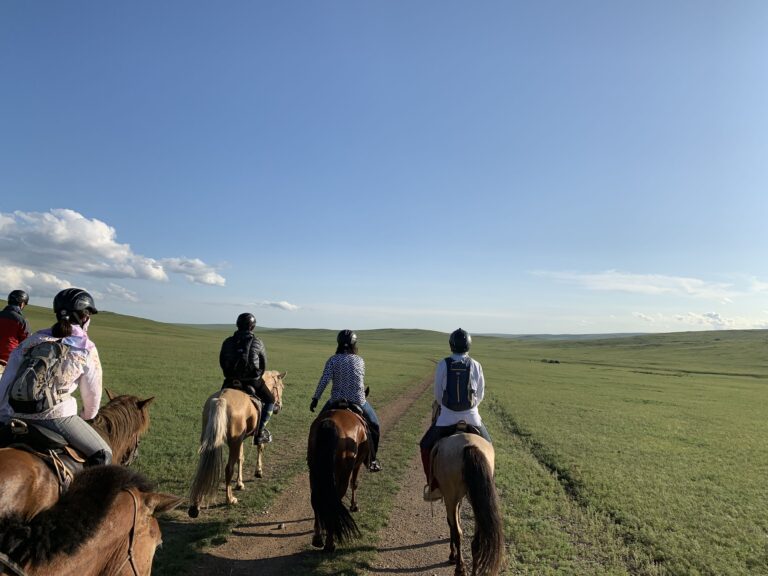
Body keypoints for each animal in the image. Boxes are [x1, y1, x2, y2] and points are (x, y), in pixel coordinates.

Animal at [187, 370, 286, 518]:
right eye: (281, 387)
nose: (278, 407)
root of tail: (221, 399)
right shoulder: (248, 437)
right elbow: (260, 447)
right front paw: (258, 471)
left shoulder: (240, 440)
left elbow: (241, 458)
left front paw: (240, 483)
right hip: (233, 442)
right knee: (228, 468)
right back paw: (230, 499)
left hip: (211, 440)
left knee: (204, 468)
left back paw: (196, 506)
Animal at [307, 406, 370, 552]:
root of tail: (330, 422)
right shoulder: (357, 463)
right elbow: (355, 483)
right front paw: (354, 506)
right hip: (343, 473)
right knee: (335, 499)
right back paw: (330, 544)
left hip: (314, 472)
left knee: (316, 499)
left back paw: (318, 538)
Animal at [430, 431, 504, 576]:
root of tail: (469, 446)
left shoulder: (450, 499)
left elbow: (452, 523)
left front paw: (452, 555)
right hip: (475, 502)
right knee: (476, 542)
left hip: (451, 497)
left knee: (457, 533)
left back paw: (459, 567)